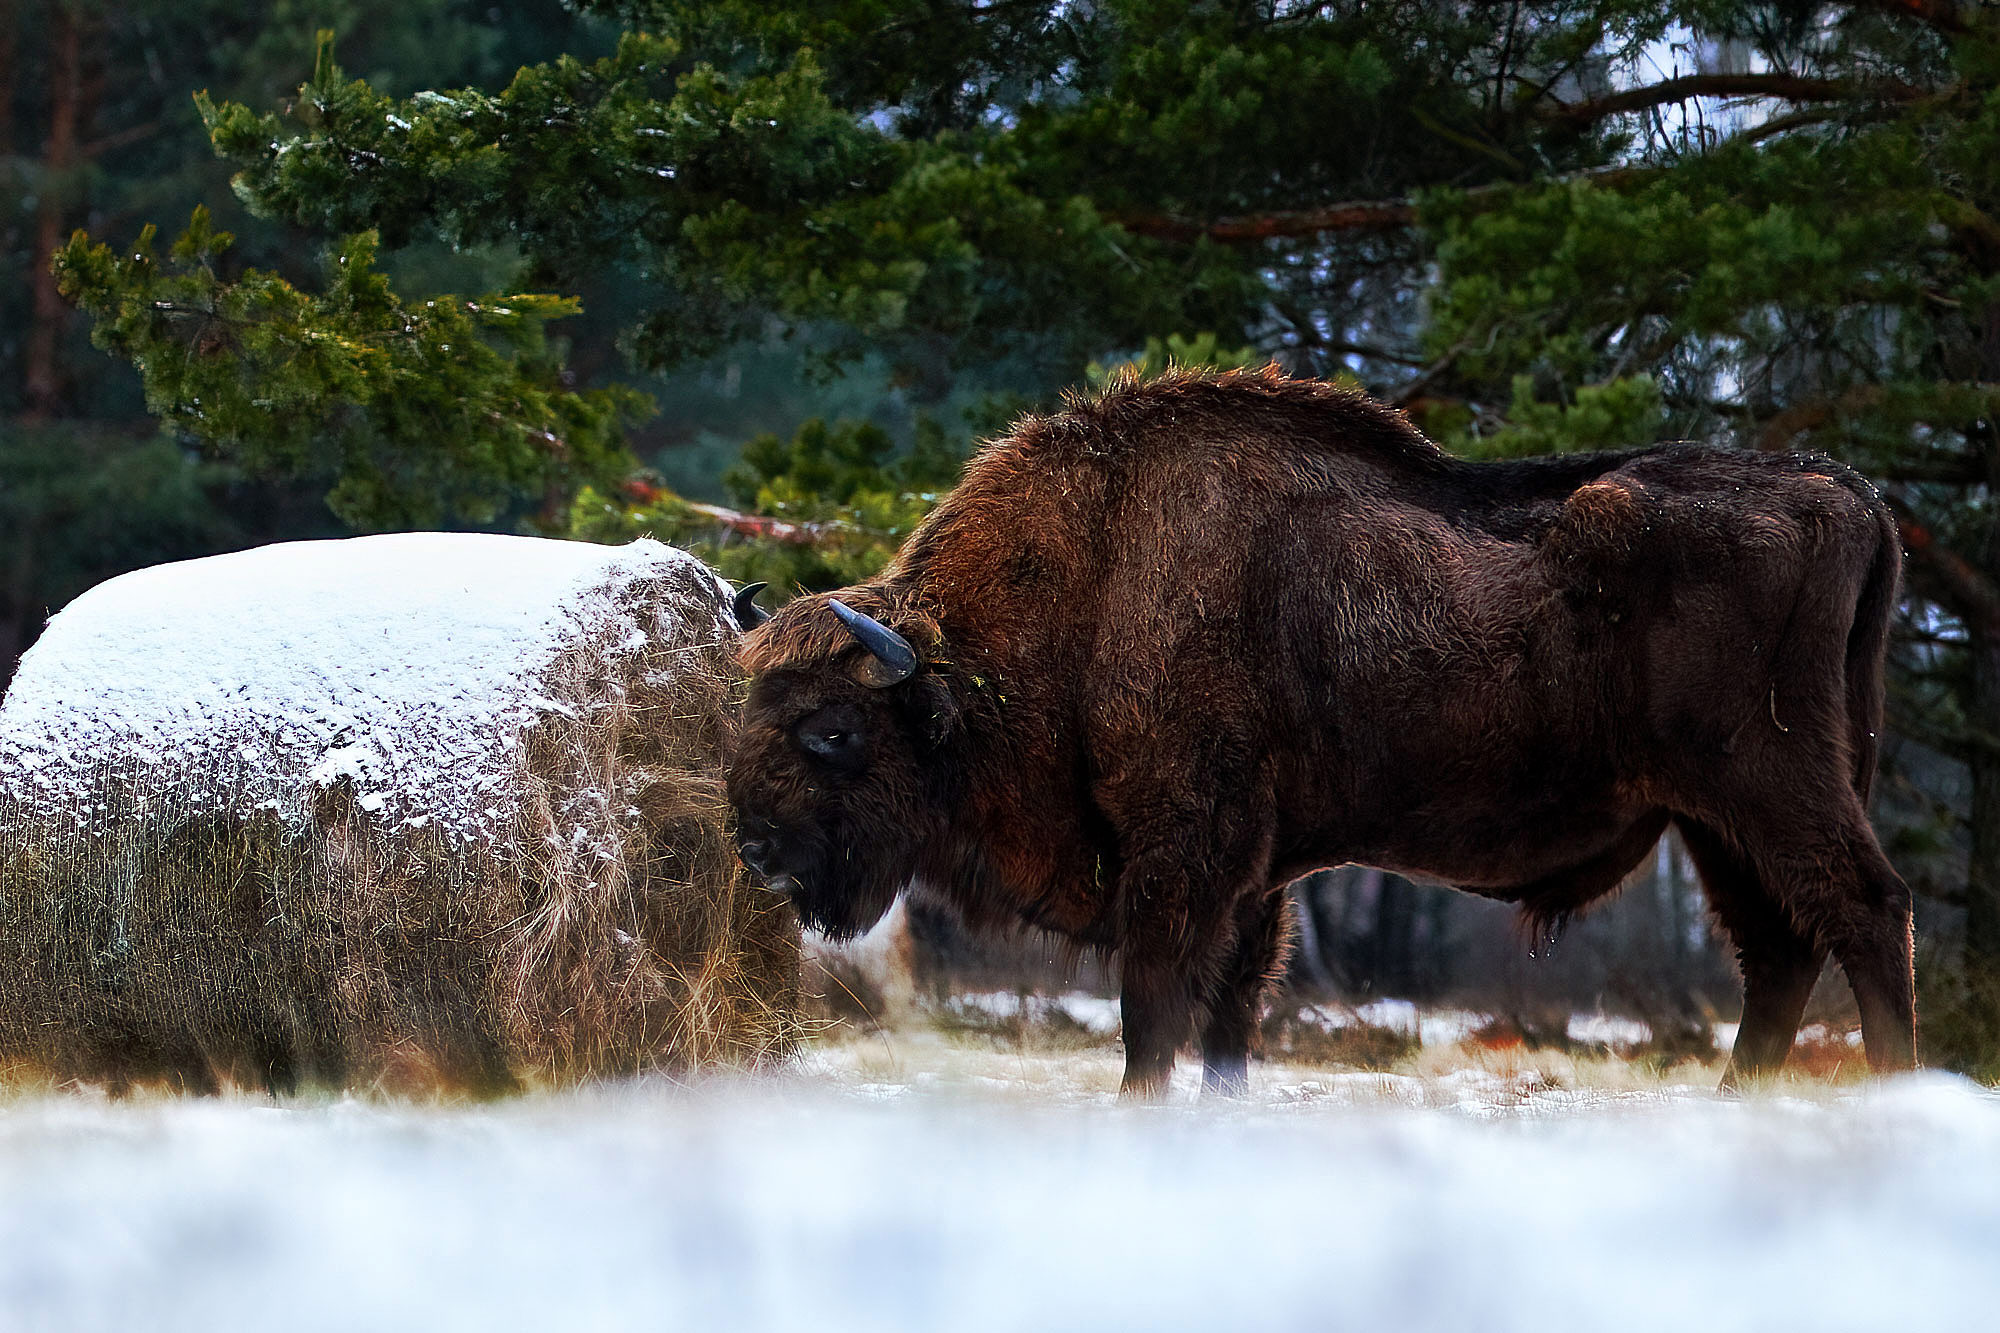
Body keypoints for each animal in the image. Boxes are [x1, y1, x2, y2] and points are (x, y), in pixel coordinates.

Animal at [728, 364, 1912, 1088]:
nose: (754, 845)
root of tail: (1845, 495)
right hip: (1714, 818)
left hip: (1768, 781)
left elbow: (1154, 1012)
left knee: (1862, 911)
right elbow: (1228, 1019)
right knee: (1777, 950)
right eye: (750, 713)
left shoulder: (1182, 857)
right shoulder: (1259, 879)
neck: (1093, 583)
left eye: (832, 731)